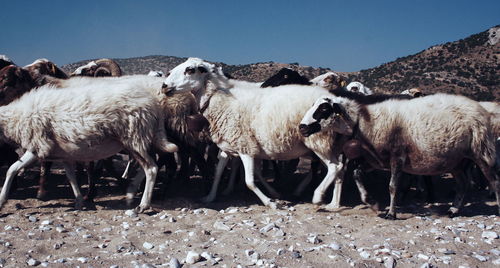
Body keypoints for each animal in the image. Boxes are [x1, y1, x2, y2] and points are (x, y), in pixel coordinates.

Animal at [0, 74, 179, 213]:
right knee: (151, 165)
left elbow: (11, 169)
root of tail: (154, 105)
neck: (14, 118)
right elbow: (71, 177)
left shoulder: (37, 147)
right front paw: (79, 201)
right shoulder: (63, 154)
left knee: (151, 168)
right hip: (139, 141)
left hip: (134, 138)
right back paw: (130, 193)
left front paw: (2, 200)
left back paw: (143, 204)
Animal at [162, 57, 358, 209]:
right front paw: (210, 197)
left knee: (334, 167)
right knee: (339, 170)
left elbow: (250, 181)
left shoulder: (245, 148)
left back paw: (317, 197)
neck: (220, 101)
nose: (164, 86)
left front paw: (271, 202)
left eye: (191, 70)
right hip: (329, 144)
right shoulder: (227, 147)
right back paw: (334, 204)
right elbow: (218, 172)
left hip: (318, 140)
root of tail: (339, 102)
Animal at [298, 93, 498, 219]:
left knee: (494, 181)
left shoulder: (398, 157)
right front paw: (372, 202)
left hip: (481, 151)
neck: (366, 122)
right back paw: (453, 210)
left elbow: (393, 186)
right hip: (457, 162)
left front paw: (390, 214)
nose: (302, 127)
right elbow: (357, 174)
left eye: (324, 109)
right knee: (463, 184)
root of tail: (480, 108)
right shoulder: (376, 159)